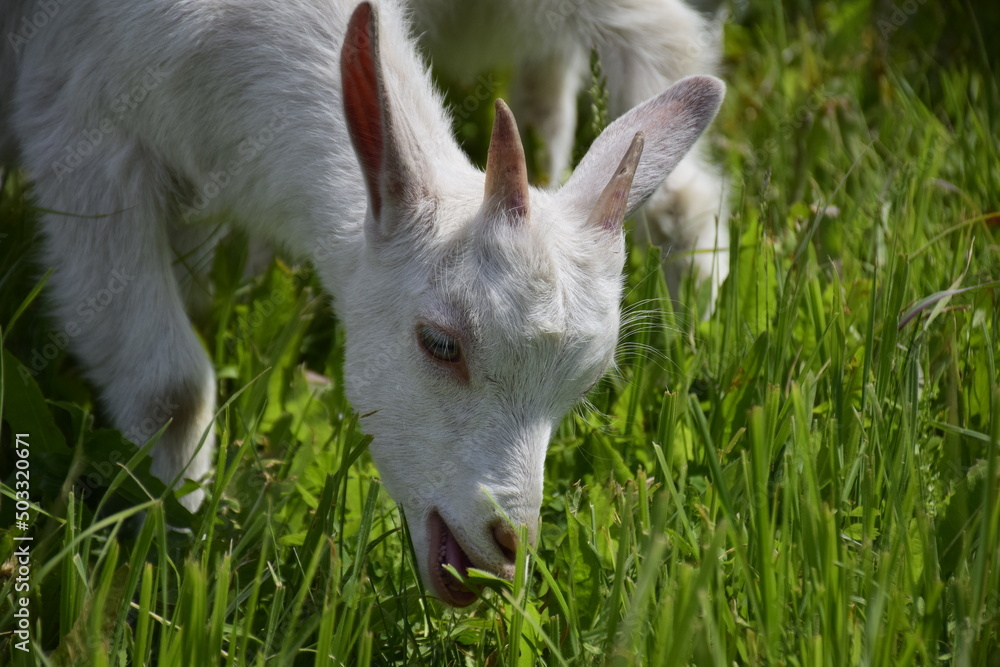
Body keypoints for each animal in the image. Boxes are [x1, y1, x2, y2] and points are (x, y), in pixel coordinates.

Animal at [0, 0, 723, 605]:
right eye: (440, 343)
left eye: (587, 383)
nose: (508, 546)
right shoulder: (82, 130)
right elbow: (172, 390)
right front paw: (177, 530)